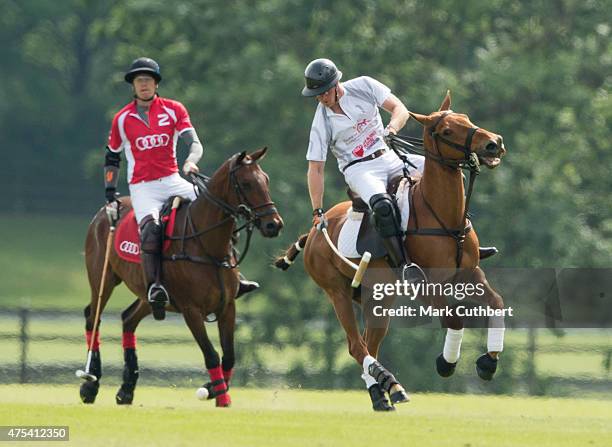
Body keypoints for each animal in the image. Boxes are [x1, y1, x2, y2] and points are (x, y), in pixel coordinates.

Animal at [78, 149, 284, 408]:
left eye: (266, 180)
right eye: (246, 183)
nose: (273, 224)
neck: (207, 245)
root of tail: (101, 214)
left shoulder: (228, 306)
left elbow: (229, 356)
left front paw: (213, 389)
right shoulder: (191, 310)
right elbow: (211, 355)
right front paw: (221, 396)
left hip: (149, 296)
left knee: (128, 319)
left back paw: (126, 390)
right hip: (103, 278)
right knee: (92, 317)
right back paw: (90, 384)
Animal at [276, 93, 506, 412]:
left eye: (466, 117)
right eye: (447, 131)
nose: (493, 143)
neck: (444, 218)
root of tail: (313, 232)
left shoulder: (470, 274)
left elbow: (496, 304)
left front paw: (488, 363)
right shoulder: (426, 285)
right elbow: (454, 318)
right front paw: (446, 363)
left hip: (377, 295)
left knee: (368, 343)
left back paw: (381, 394)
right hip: (337, 291)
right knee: (356, 345)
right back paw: (391, 385)